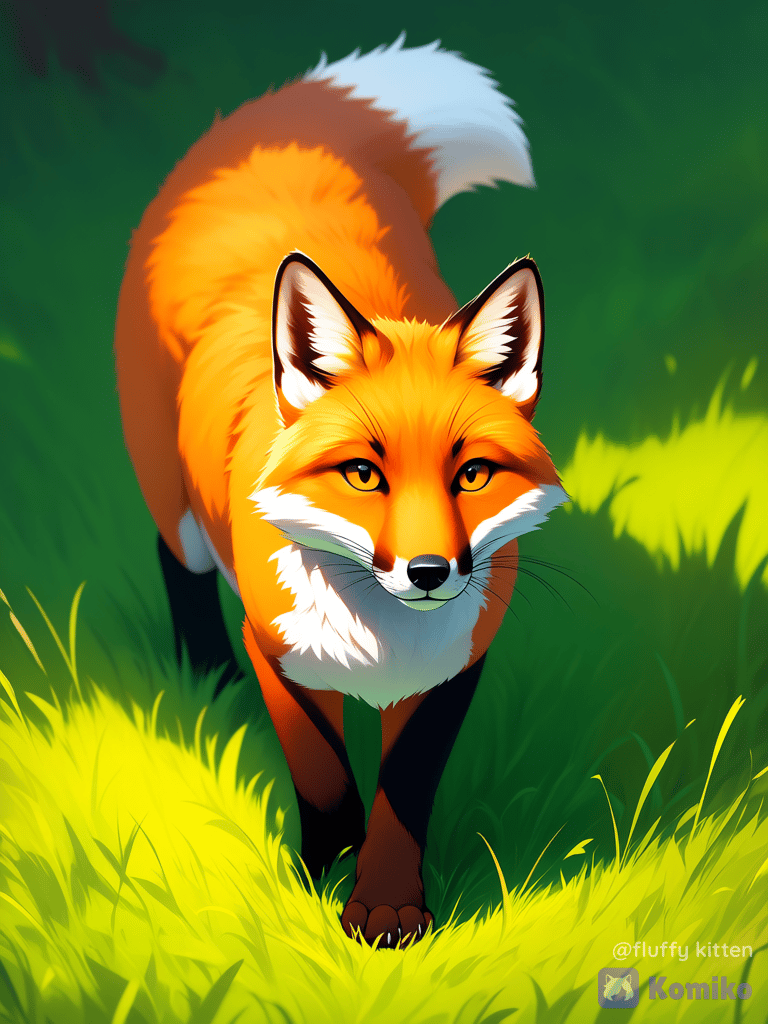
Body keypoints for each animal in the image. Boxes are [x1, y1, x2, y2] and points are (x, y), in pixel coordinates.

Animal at [115, 33, 569, 948]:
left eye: (471, 474)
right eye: (364, 473)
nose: (429, 572)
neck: (379, 638)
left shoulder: (454, 669)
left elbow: (403, 797)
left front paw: (387, 905)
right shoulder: (279, 650)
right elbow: (324, 776)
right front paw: (317, 875)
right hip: (170, 492)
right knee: (174, 554)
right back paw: (205, 674)